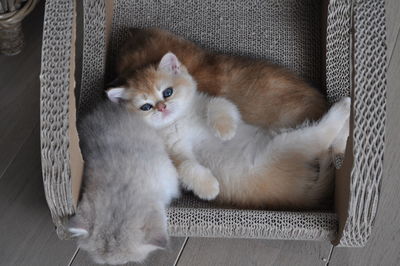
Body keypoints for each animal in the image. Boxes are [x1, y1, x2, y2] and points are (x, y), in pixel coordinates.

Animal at [108, 53, 348, 209]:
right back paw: (343, 110)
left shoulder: (212, 102)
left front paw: (225, 131)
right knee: (322, 136)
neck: (180, 121)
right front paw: (209, 188)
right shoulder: (173, 152)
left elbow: (219, 105)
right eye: (146, 107)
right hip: (287, 144)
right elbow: (186, 167)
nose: (161, 107)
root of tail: (303, 195)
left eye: (167, 92)